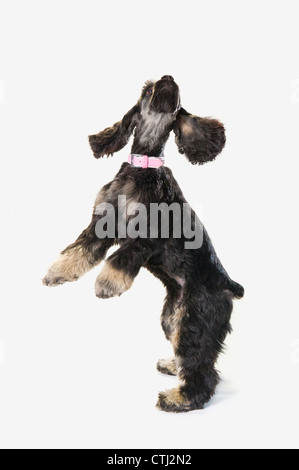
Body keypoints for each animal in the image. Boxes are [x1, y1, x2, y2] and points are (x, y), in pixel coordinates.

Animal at [44, 74, 246, 412]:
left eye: (175, 95)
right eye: (147, 89)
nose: (168, 78)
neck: (144, 167)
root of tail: (229, 285)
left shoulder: (148, 236)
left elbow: (120, 258)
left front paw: (106, 285)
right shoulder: (101, 224)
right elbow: (78, 250)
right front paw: (55, 273)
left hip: (195, 318)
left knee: (203, 369)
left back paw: (179, 398)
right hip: (171, 317)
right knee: (192, 355)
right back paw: (173, 365)